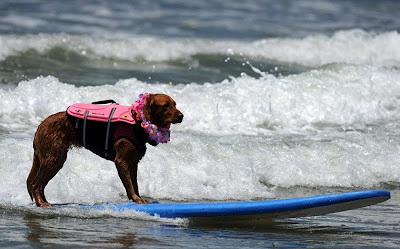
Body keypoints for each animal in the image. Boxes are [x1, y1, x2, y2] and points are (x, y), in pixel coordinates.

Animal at [27, 93, 184, 206]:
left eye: (175, 104)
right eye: (165, 105)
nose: (181, 116)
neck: (138, 122)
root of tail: (40, 125)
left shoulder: (133, 161)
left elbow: (134, 183)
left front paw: (137, 198)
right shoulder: (122, 160)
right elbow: (129, 183)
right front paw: (136, 198)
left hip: (55, 158)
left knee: (41, 184)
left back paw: (44, 201)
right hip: (53, 157)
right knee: (36, 184)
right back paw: (42, 203)